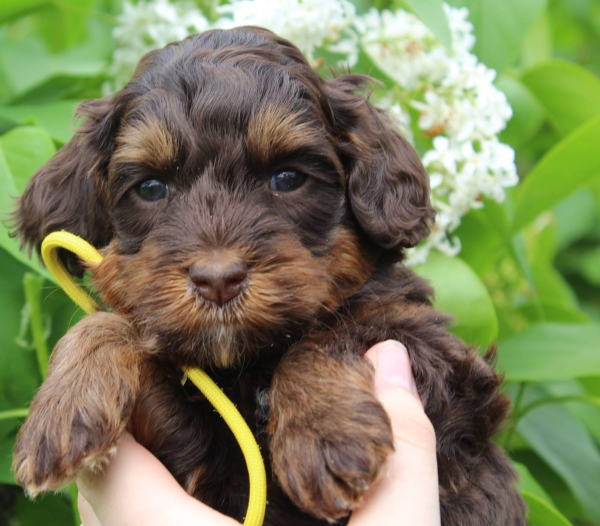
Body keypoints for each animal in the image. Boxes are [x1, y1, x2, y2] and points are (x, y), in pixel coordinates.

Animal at [9, 25, 524, 526]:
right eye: (152, 188)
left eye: (287, 178)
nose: (218, 280)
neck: (244, 363)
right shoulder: (186, 447)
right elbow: (108, 322)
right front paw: (60, 410)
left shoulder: (438, 360)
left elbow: (335, 332)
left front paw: (327, 434)